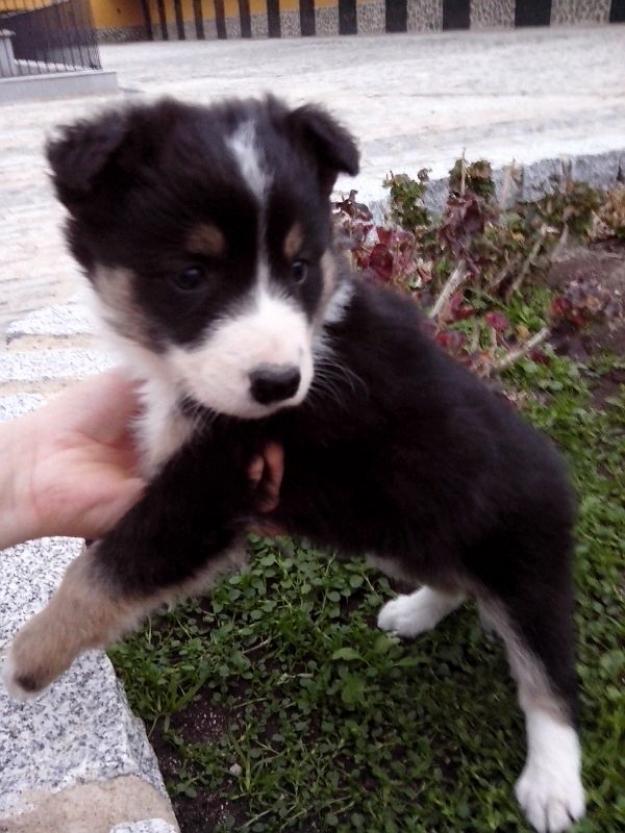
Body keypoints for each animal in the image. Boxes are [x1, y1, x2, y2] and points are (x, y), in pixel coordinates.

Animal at [2, 96, 584, 824]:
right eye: (190, 275)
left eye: (299, 268)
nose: (279, 384)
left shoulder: (212, 486)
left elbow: (103, 569)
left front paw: (27, 661)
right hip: (399, 528)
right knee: (453, 578)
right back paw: (414, 612)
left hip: (524, 561)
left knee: (549, 670)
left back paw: (553, 785)